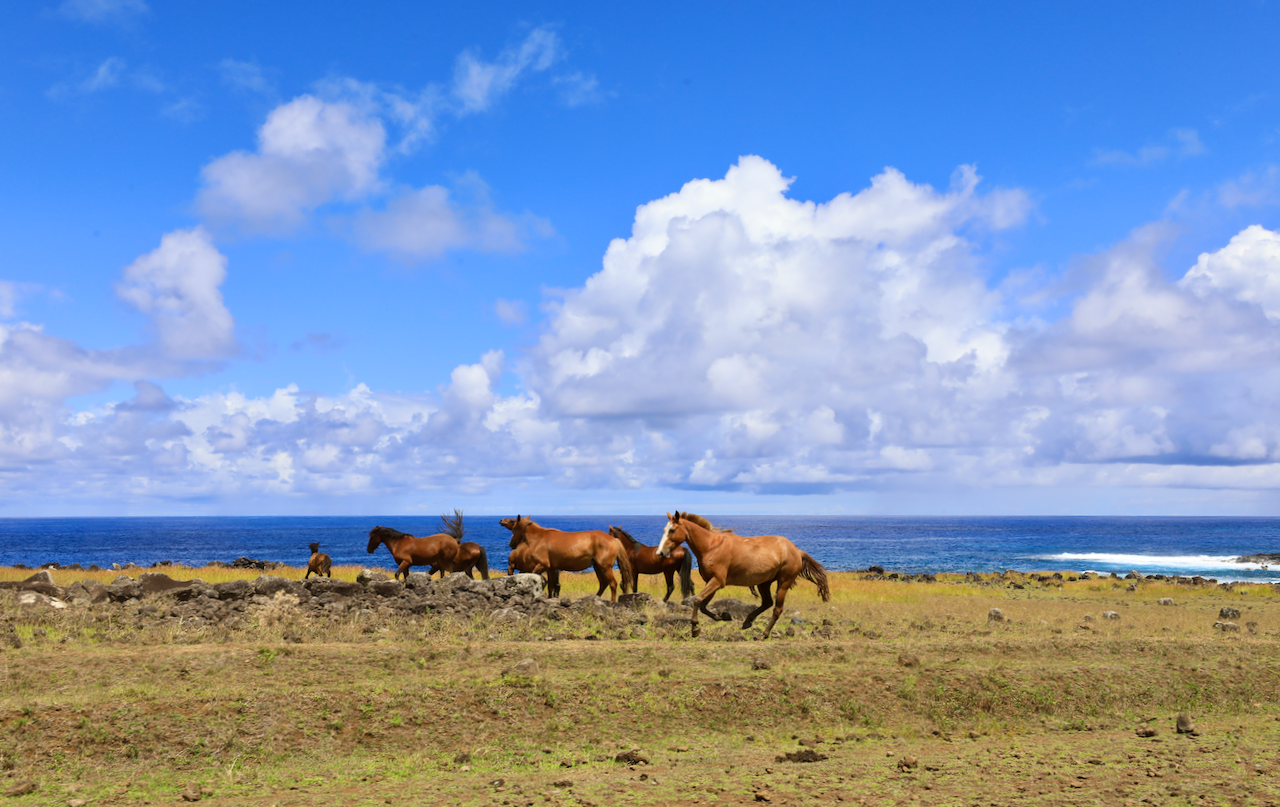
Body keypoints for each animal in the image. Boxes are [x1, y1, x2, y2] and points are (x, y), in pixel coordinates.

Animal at [504, 517, 634, 602]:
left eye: (514, 528)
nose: (511, 544)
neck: (540, 538)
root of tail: (614, 540)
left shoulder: (542, 565)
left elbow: (536, 577)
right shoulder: (551, 568)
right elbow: (551, 585)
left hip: (605, 567)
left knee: (612, 583)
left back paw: (611, 601)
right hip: (597, 567)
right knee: (604, 583)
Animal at [660, 512, 829, 637]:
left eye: (672, 530)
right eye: (664, 530)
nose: (661, 553)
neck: (712, 546)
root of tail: (796, 551)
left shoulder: (718, 581)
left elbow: (697, 600)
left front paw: (695, 629)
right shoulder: (711, 581)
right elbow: (702, 604)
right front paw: (723, 617)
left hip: (784, 582)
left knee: (777, 609)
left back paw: (764, 634)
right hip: (764, 583)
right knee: (767, 603)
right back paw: (747, 622)